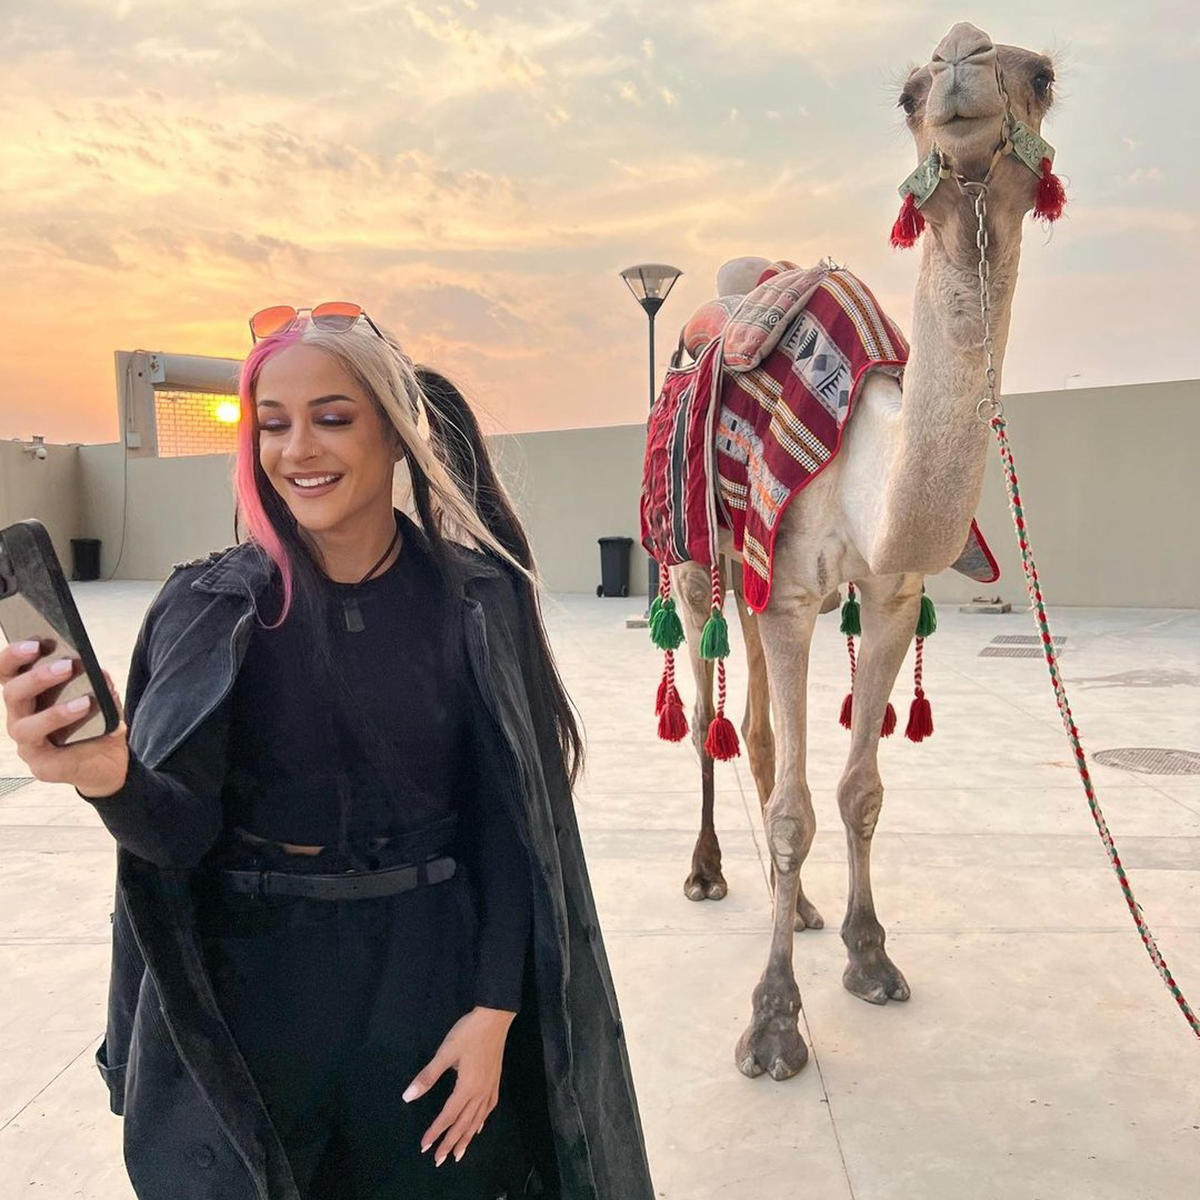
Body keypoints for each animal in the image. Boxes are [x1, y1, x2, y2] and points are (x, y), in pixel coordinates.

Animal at [667, 22, 1062, 1079]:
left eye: (1041, 75)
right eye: (910, 92)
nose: (964, 66)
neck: (862, 462)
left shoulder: (887, 595)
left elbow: (857, 791)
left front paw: (869, 955)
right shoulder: (796, 592)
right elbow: (795, 808)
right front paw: (772, 1024)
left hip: (757, 581)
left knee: (758, 725)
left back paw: (797, 906)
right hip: (698, 561)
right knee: (710, 708)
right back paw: (708, 872)